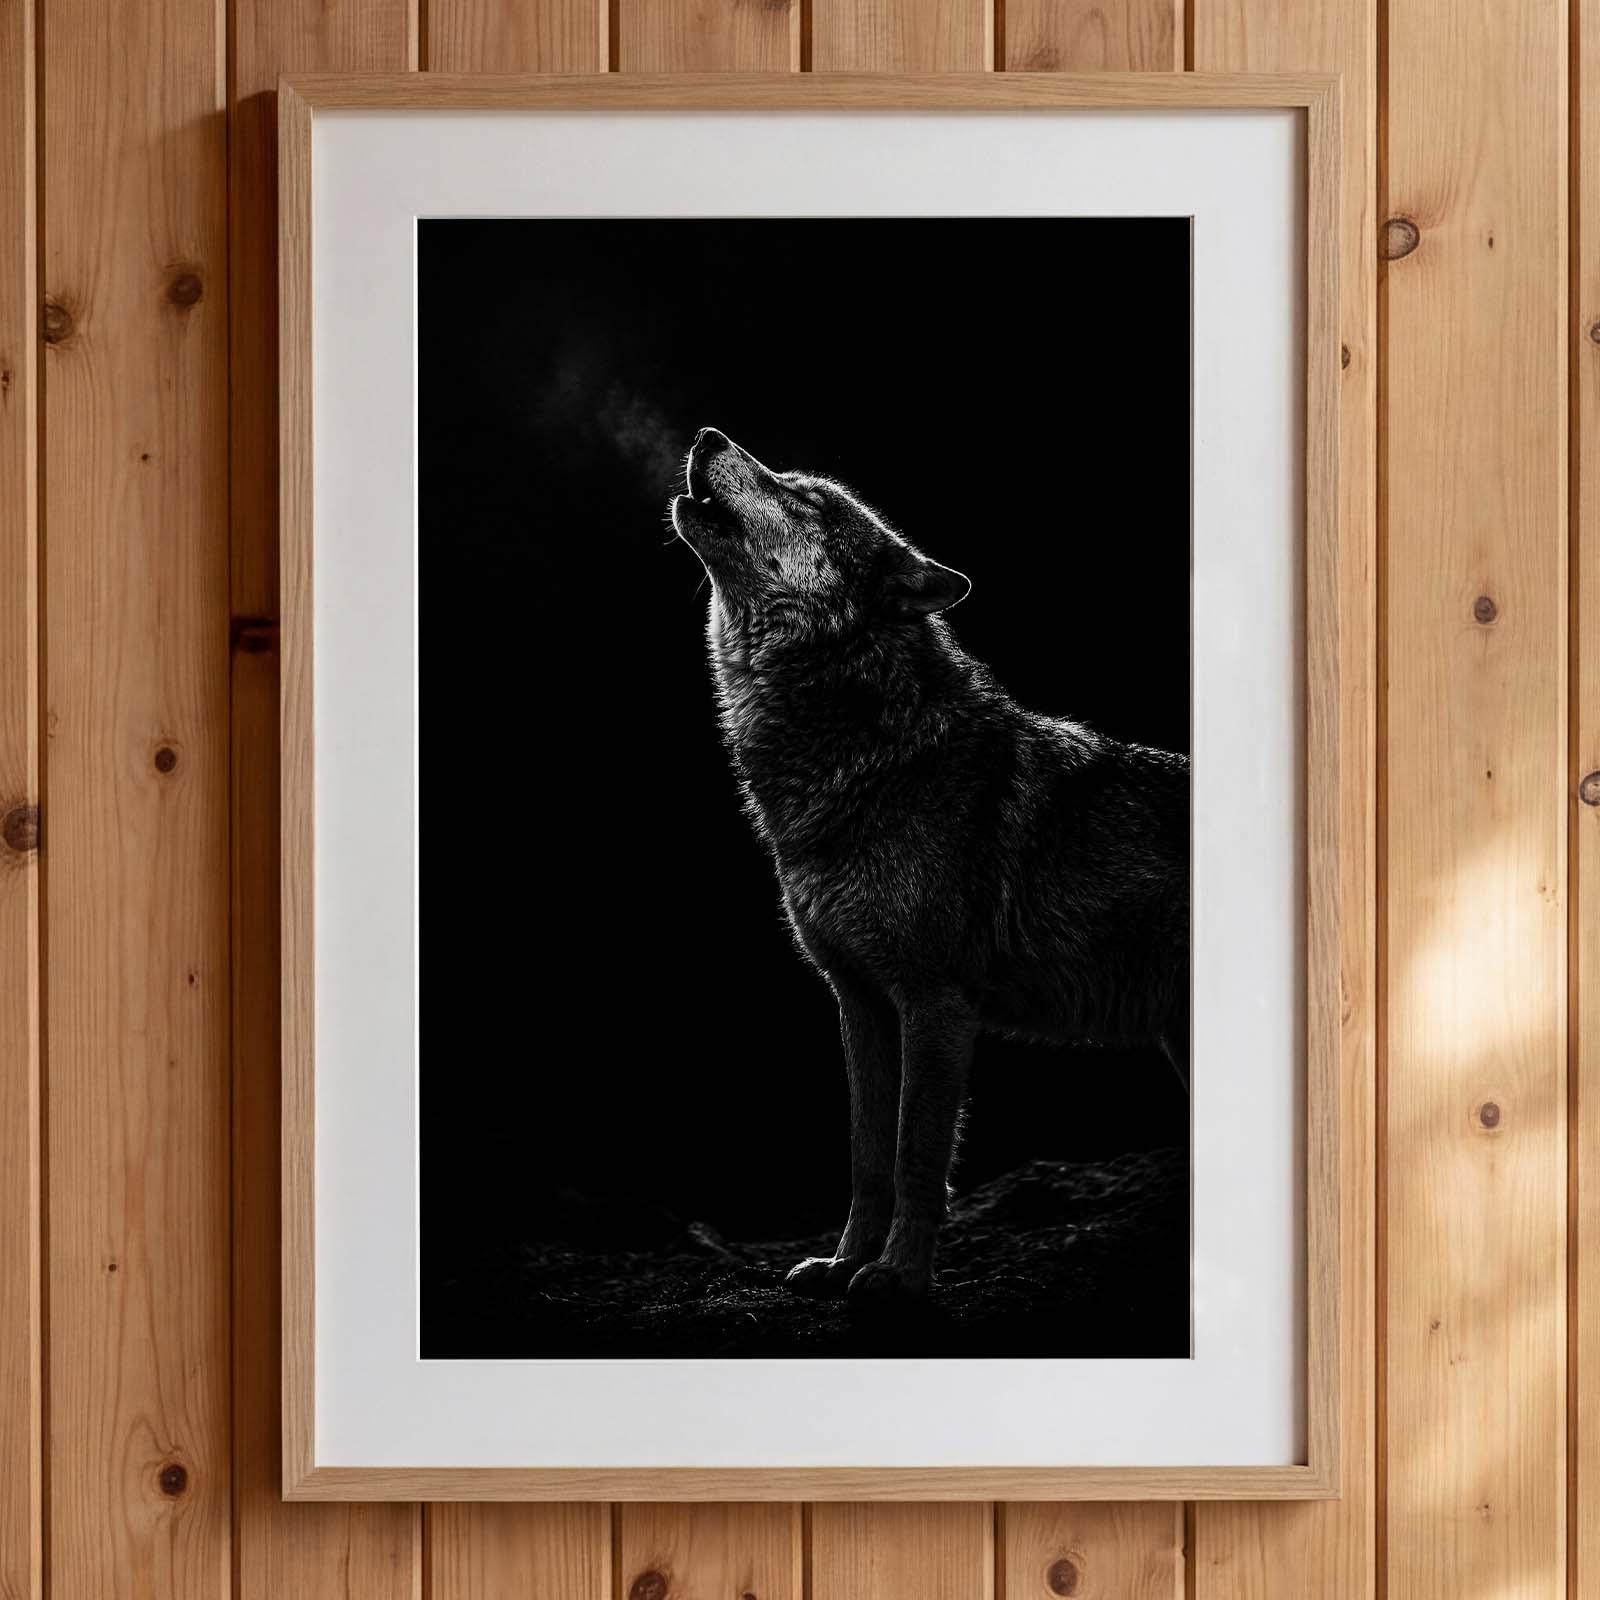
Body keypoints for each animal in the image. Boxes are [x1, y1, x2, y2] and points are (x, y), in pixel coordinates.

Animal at [671, 428, 1189, 1307]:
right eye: (788, 480)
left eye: (805, 497)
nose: (709, 435)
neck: (876, 760)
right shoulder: (859, 1002)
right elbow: (868, 1156)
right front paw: (844, 1263)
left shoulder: (936, 1001)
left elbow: (918, 1154)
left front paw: (901, 1278)